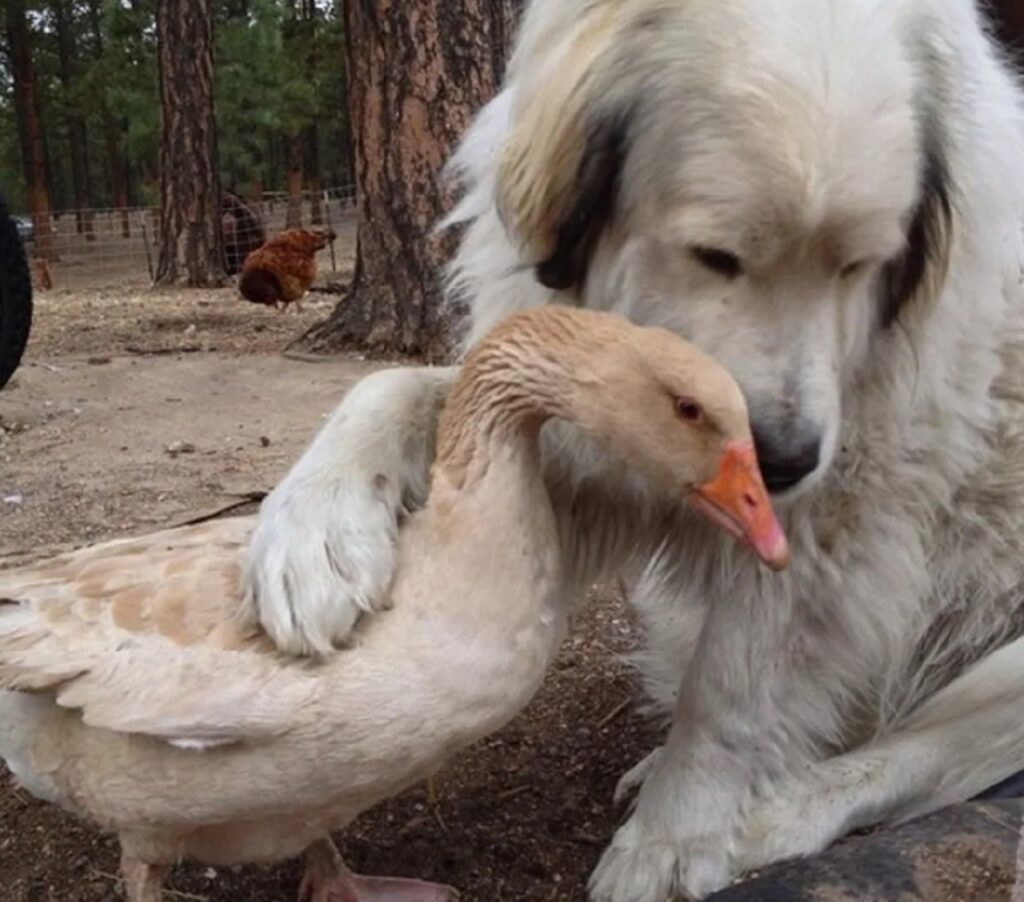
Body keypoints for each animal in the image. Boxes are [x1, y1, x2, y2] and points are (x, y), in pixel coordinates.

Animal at [243, 3, 1024, 896]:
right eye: (716, 256)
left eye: (859, 265)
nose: (785, 463)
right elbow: (393, 387)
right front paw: (314, 531)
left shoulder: (834, 518)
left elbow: (734, 685)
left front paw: (677, 836)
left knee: (916, 761)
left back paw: (774, 814)